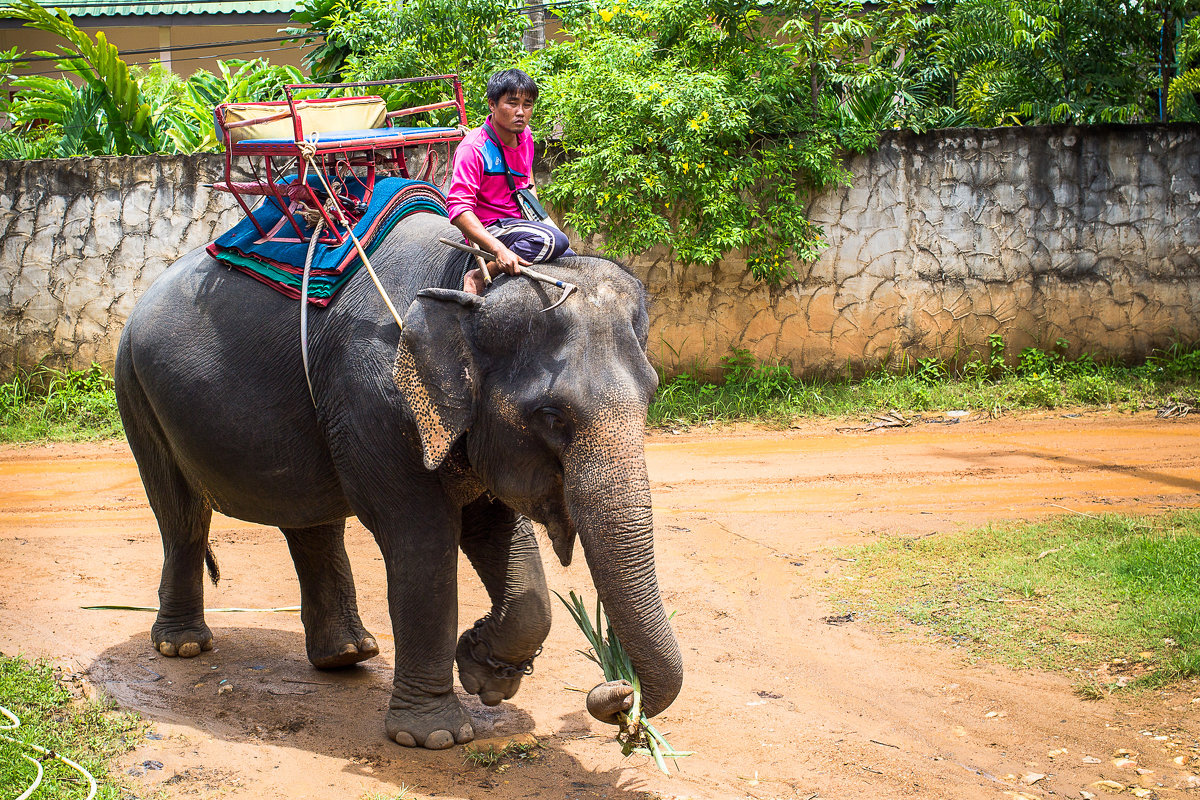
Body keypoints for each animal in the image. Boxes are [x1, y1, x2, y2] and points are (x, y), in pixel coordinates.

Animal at [113, 212, 686, 753]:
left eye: (652, 393)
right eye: (551, 415)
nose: (619, 696)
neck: (464, 285)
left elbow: (499, 532)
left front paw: (483, 673)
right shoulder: (375, 394)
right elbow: (422, 540)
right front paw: (434, 737)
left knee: (310, 521)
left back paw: (346, 655)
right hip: (135, 387)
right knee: (182, 515)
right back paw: (184, 647)